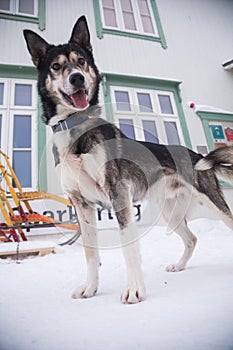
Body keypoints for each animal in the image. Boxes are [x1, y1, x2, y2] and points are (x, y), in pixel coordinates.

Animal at [23, 15, 233, 302]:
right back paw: (179, 265)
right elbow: (90, 253)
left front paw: (135, 290)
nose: (77, 78)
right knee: (191, 239)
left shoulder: (118, 195)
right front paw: (90, 288)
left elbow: (129, 250)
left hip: (212, 201)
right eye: (56, 66)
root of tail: (196, 153)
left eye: (81, 61)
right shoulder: (82, 205)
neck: (75, 127)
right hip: (170, 212)